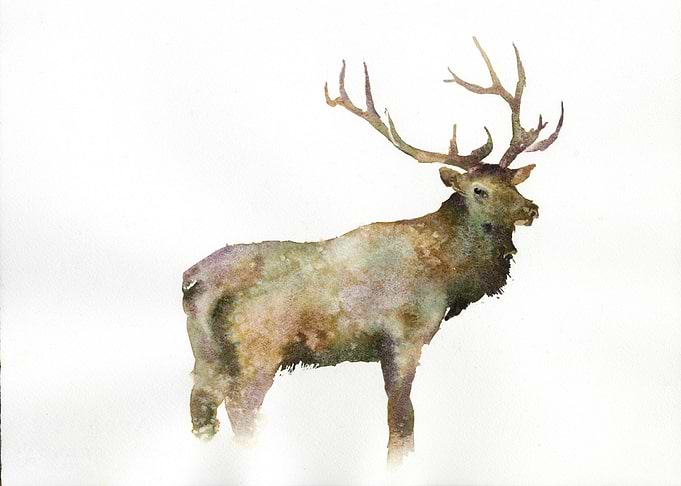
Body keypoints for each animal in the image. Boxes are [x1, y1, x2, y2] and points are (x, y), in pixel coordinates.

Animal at [182, 37, 563, 464]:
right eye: (479, 190)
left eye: (512, 182)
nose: (531, 209)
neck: (448, 278)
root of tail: (194, 279)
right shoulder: (403, 337)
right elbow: (401, 419)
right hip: (258, 351)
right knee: (240, 409)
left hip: (206, 354)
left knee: (201, 405)